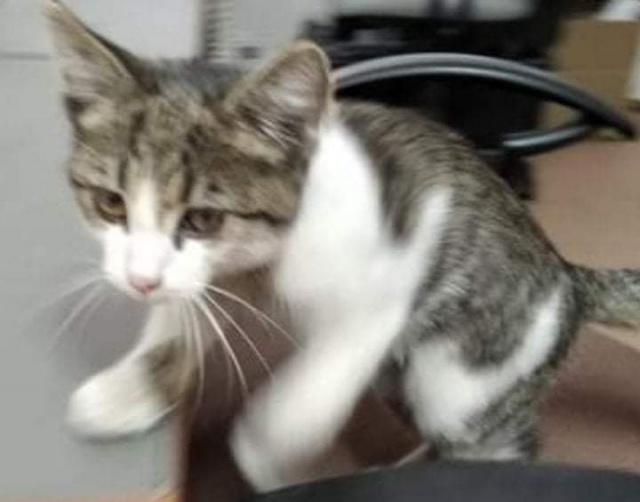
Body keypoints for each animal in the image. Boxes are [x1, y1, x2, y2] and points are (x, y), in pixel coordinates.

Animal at [45, 0, 640, 492]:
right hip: (407, 375)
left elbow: (310, 391)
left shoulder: (381, 292)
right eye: (110, 204)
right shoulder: (205, 276)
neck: (264, 258)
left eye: (203, 218)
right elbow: (181, 318)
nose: (138, 282)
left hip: (468, 377)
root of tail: (567, 274)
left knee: (488, 436)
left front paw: (268, 458)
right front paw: (129, 391)